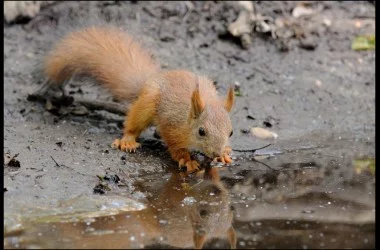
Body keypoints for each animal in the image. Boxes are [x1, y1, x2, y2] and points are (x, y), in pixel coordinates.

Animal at [43, 26, 233, 173]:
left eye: (231, 132)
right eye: (201, 131)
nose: (216, 153)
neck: (188, 119)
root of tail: (151, 80)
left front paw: (224, 153)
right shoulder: (171, 127)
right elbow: (175, 147)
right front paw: (188, 160)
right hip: (146, 105)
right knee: (133, 123)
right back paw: (127, 140)